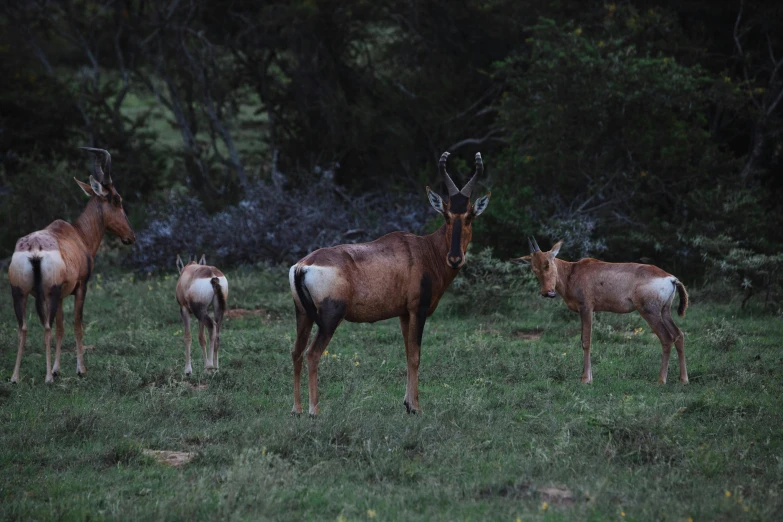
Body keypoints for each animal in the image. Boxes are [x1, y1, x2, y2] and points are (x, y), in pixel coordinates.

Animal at [8, 146, 136, 382]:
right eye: (117, 199)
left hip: (20, 292)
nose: (130, 237)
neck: (77, 233)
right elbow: (77, 325)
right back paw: (47, 379)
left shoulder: (61, 295)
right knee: (46, 326)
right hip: (48, 293)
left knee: (23, 328)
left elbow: (61, 328)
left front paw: (57, 369)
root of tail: (34, 248)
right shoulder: (80, 287)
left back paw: (15, 377)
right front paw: (79, 369)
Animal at [290, 150, 494, 414]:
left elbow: (408, 353)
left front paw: (407, 403)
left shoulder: (404, 314)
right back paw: (314, 411)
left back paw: (297, 409)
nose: (455, 258)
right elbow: (416, 355)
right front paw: (416, 408)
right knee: (312, 354)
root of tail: (303, 265)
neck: (423, 250)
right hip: (329, 318)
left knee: (296, 352)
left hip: (302, 314)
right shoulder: (418, 310)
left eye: (469, 215)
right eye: (447, 215)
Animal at [516, 239, 688, 382]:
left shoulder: (586, 308)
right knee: (678, 335)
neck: (573, 271)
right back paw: (683, 379)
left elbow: (586, 341)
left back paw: (661, 380)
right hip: (664, 312)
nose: (548, 293)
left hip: (650, 313)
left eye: (548, 264)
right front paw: (587, 377)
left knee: (666, 339)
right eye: (534, 268)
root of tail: (671, 278)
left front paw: (586, 379)